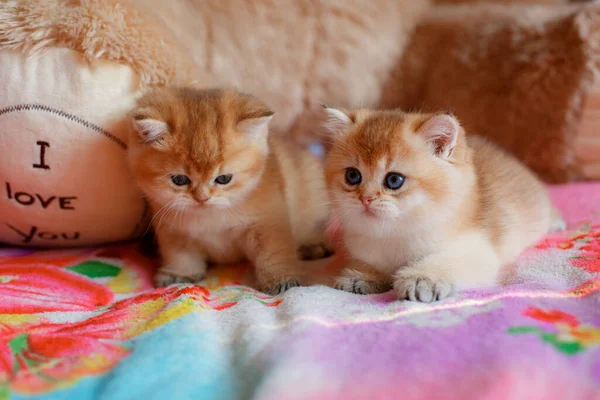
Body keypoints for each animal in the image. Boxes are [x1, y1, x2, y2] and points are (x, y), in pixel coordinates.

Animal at [128, 87, 330, 294]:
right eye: (180, 180)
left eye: (223, 179)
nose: (202, 198)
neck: (211, 218)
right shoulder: (173, 230)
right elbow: (180, 255)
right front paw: (181, 274)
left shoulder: (268, 222)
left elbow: (274, 252)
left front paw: (281, 280)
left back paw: (310, 247)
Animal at [324, 108, 564, 302]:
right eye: (353, 176)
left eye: (394, 180)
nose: (365, 198)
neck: (395, 233)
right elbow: (372, 265)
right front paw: (363, 277)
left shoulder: (477, 249)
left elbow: (443, 261)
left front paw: (421, 278)